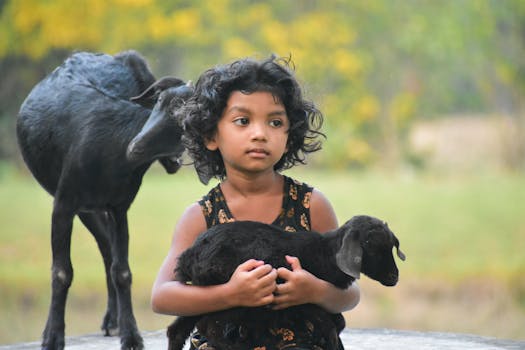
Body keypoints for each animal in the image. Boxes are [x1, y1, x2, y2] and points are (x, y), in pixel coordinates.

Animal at [16, 50, 192, 350]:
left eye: (188, 119)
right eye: (159, 101)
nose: (136, 147)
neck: (111, 155)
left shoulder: (119, 206)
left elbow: (122, 271)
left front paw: (131, 335)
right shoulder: (63, 202)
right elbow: (61, 272)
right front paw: (52, 337)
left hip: (95, 208)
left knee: (107, 248)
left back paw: (112, 320)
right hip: (82, 205)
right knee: (104, 245)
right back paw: (109, 320)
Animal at [168, 215, 406, 348]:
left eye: (391, 247)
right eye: (371, 249)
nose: (394, 277)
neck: (326, 253)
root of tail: (192, 254)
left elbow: (338, 321)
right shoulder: (304, 300)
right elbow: (330, 324)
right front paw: (327, 340)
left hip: (204, 295)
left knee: (178, 329)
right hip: (232, 295)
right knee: (210, 328)